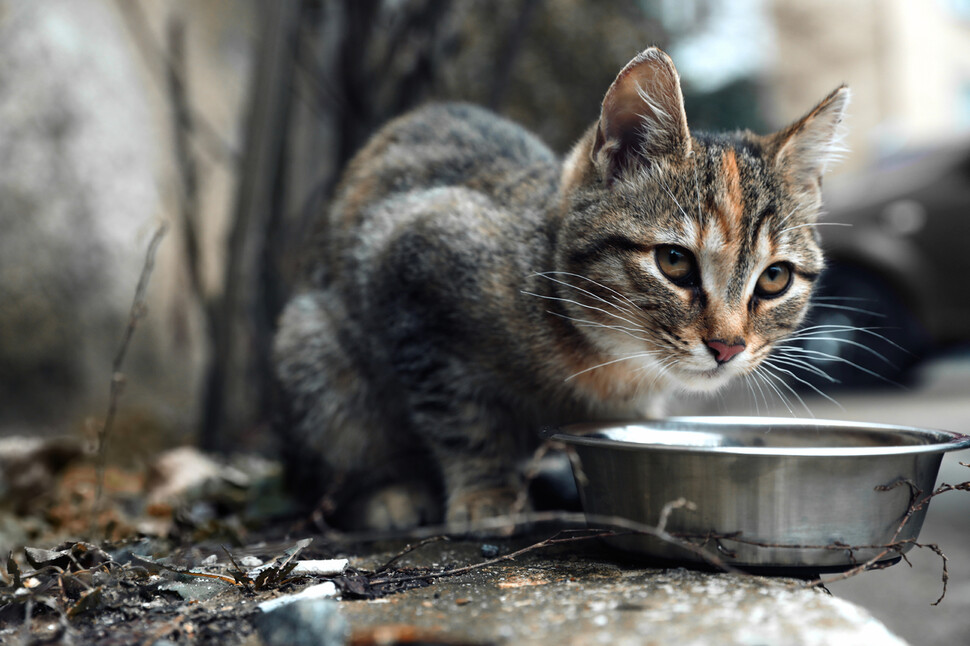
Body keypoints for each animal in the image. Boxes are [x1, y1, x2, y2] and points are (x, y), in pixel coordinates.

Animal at [272, 46, 848, 532]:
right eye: (674, 262)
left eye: (774, 278)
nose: (727, 346)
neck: (609, 359)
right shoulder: (411, 267)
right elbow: (461, 417)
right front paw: (485, 495)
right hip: (315, 348)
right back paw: (387, 494)